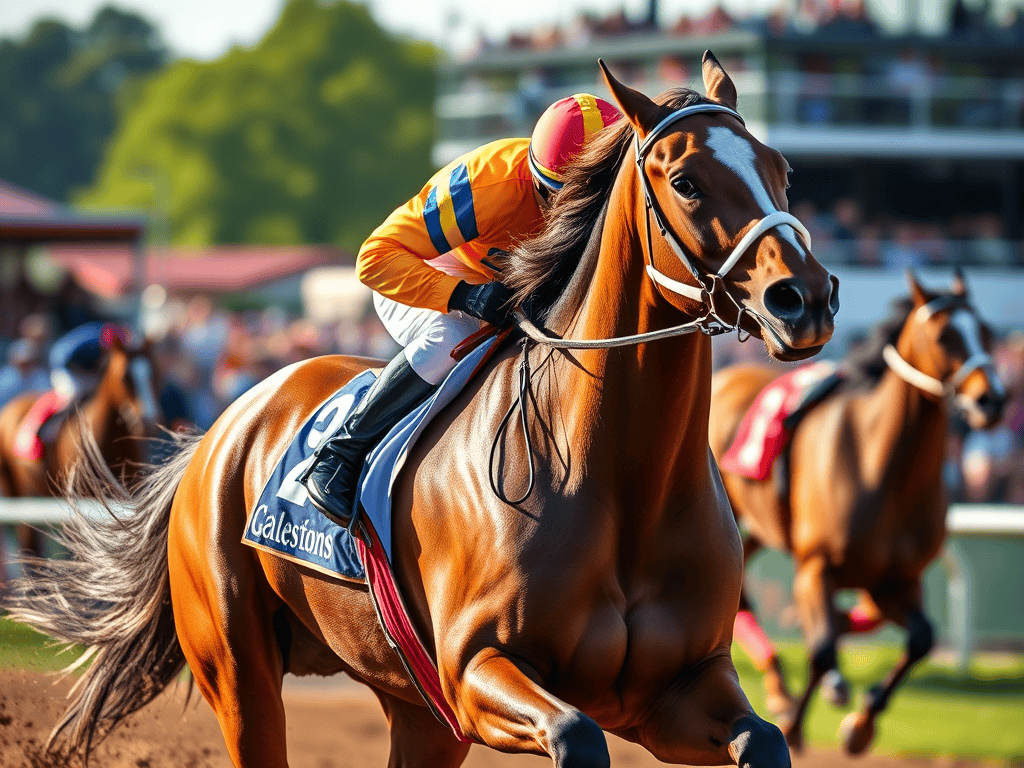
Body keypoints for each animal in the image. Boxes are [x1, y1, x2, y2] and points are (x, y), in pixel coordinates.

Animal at [708, 271, 1005, 756]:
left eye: (987, 332)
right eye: (944, 335)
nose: (992, 401)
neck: (882, 469)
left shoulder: (896, 579)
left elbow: (920, 639)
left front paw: (859, 727)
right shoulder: (815, 566)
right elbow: (823, 651)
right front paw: (801, 718)